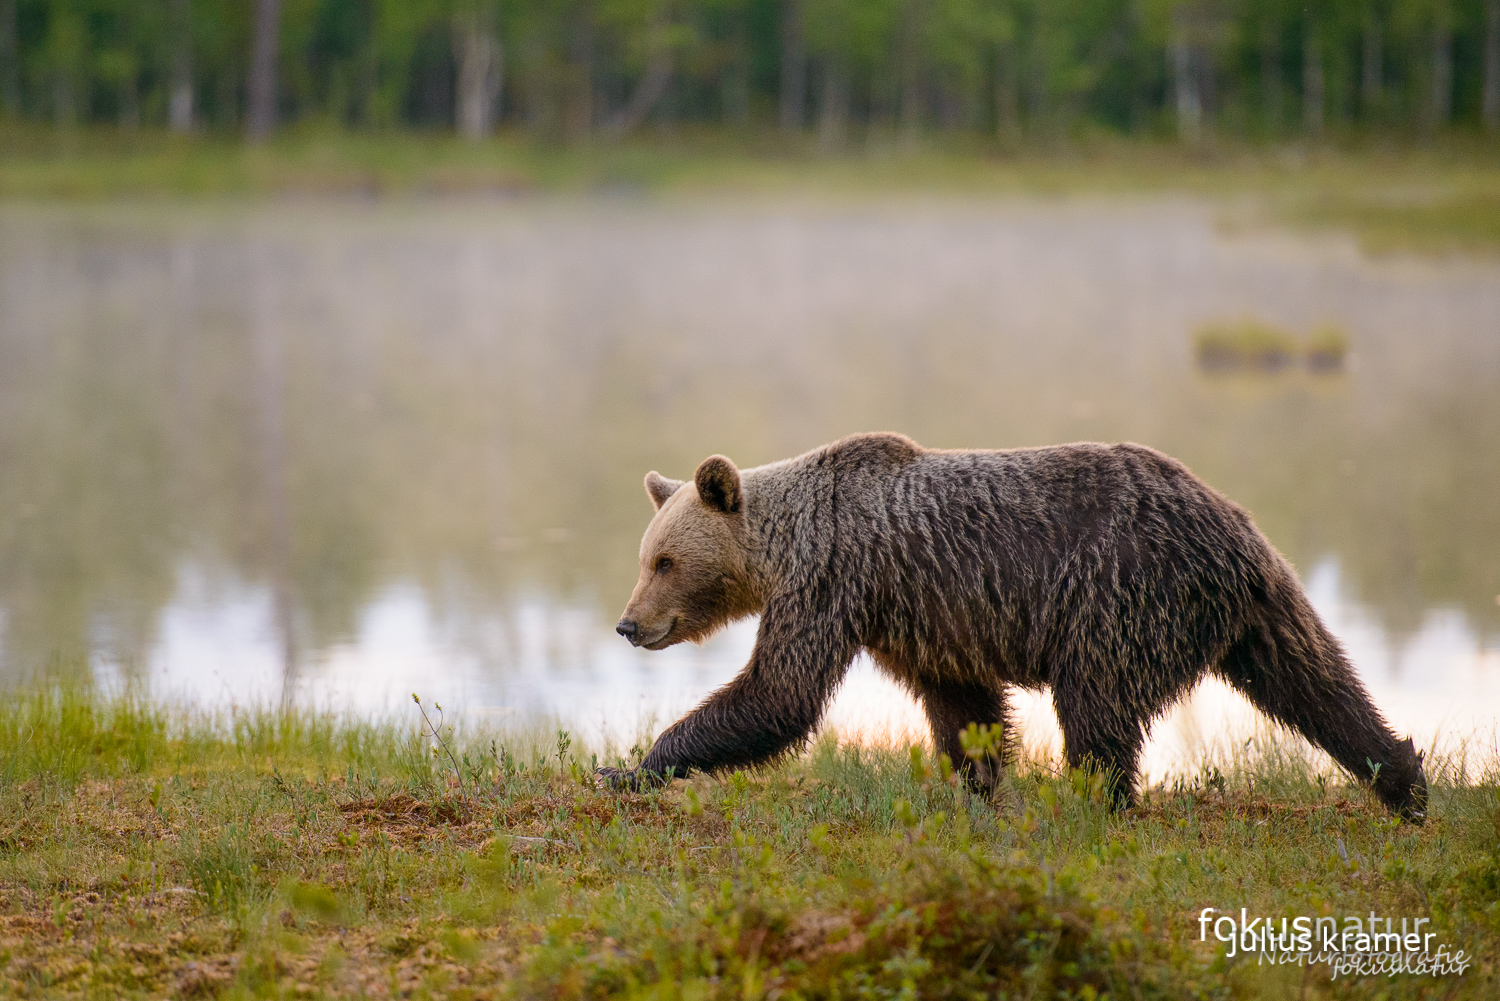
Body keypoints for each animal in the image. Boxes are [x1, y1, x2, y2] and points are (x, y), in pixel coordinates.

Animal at [597, 432, 1428, 822]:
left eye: (665, 559)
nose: (629, 624)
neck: (786, 543)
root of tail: (1235, 532)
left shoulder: (833, 583)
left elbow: (779, 692)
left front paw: (633, 765)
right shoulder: (918, 617)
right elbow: (964, 707)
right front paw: (980, 786)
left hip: (1118, 595)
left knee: (1097, 712)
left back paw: (1096, 802)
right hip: (1255, 610)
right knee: (1318, 681)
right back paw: (1405, 780)